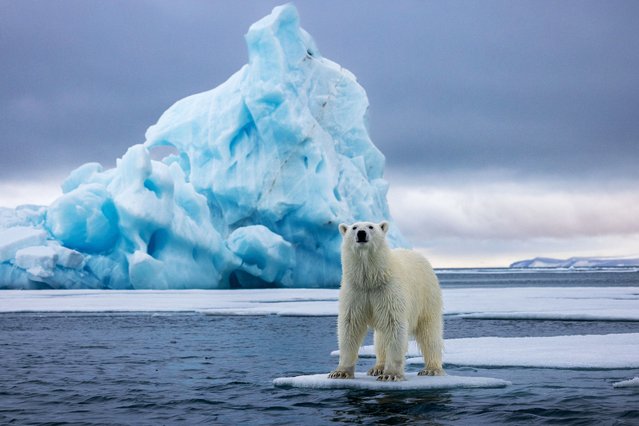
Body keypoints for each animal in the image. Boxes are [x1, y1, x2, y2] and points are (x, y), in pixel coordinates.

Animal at [328, 221, 442, 382]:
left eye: (370, 226)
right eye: (354, 227)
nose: (361, 233)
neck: (372, 279)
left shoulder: (388, 290)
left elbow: (394, 325)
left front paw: (391, 374)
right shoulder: (356, 291)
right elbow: (350, 325)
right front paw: (340, 372)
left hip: (427, 296)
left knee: (429, 332)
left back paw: (431, 369)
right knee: (381, 338)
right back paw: (377, 368)